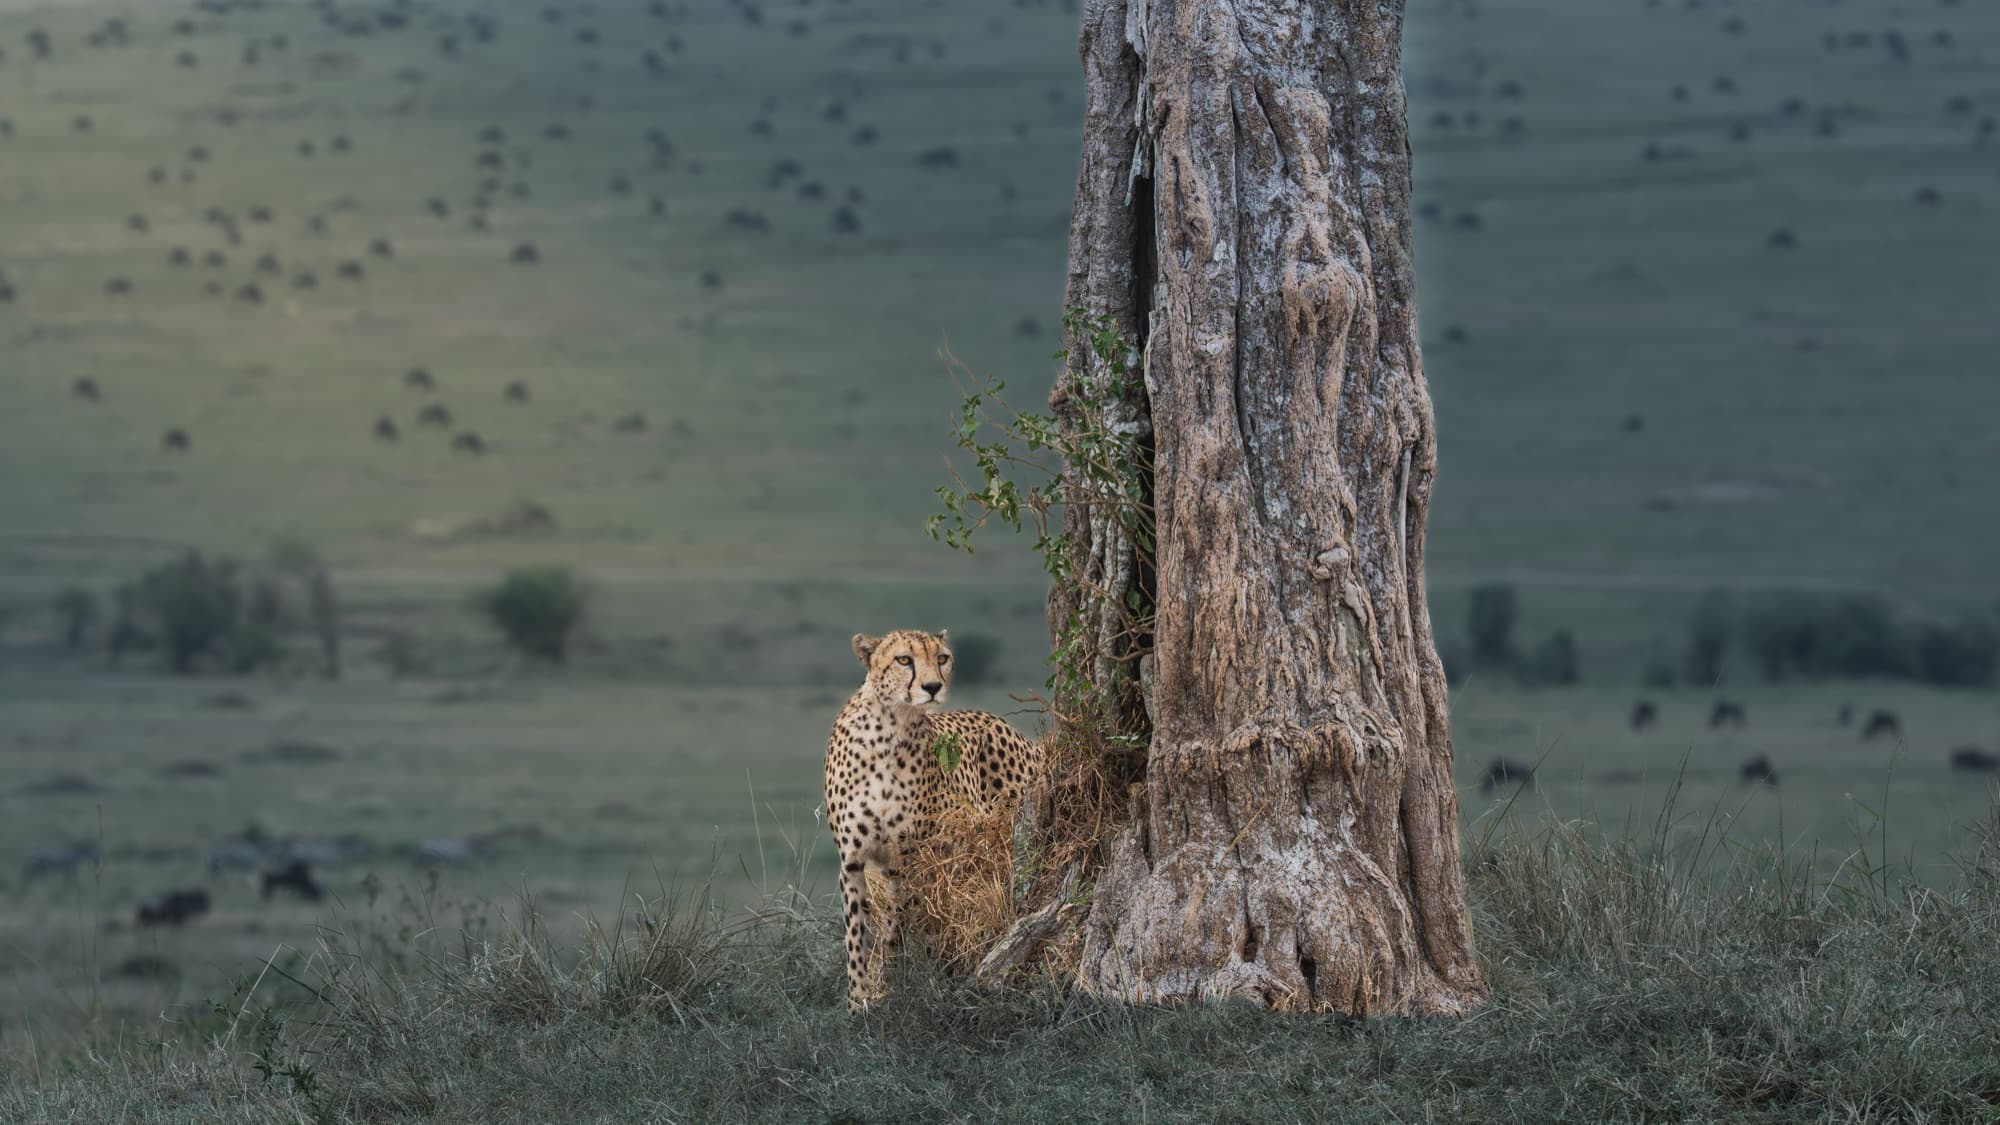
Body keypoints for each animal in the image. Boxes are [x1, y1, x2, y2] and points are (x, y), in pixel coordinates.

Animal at [824, 629, 1043, 1010]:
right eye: (903, 659)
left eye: (942, 658)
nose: (932, 687)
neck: (887, 729)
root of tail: (1000, 721)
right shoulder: (852, 860)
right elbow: (856, 935)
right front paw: (858, 1000)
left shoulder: (908, 859)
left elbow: (893, 928)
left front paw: (888, 986)